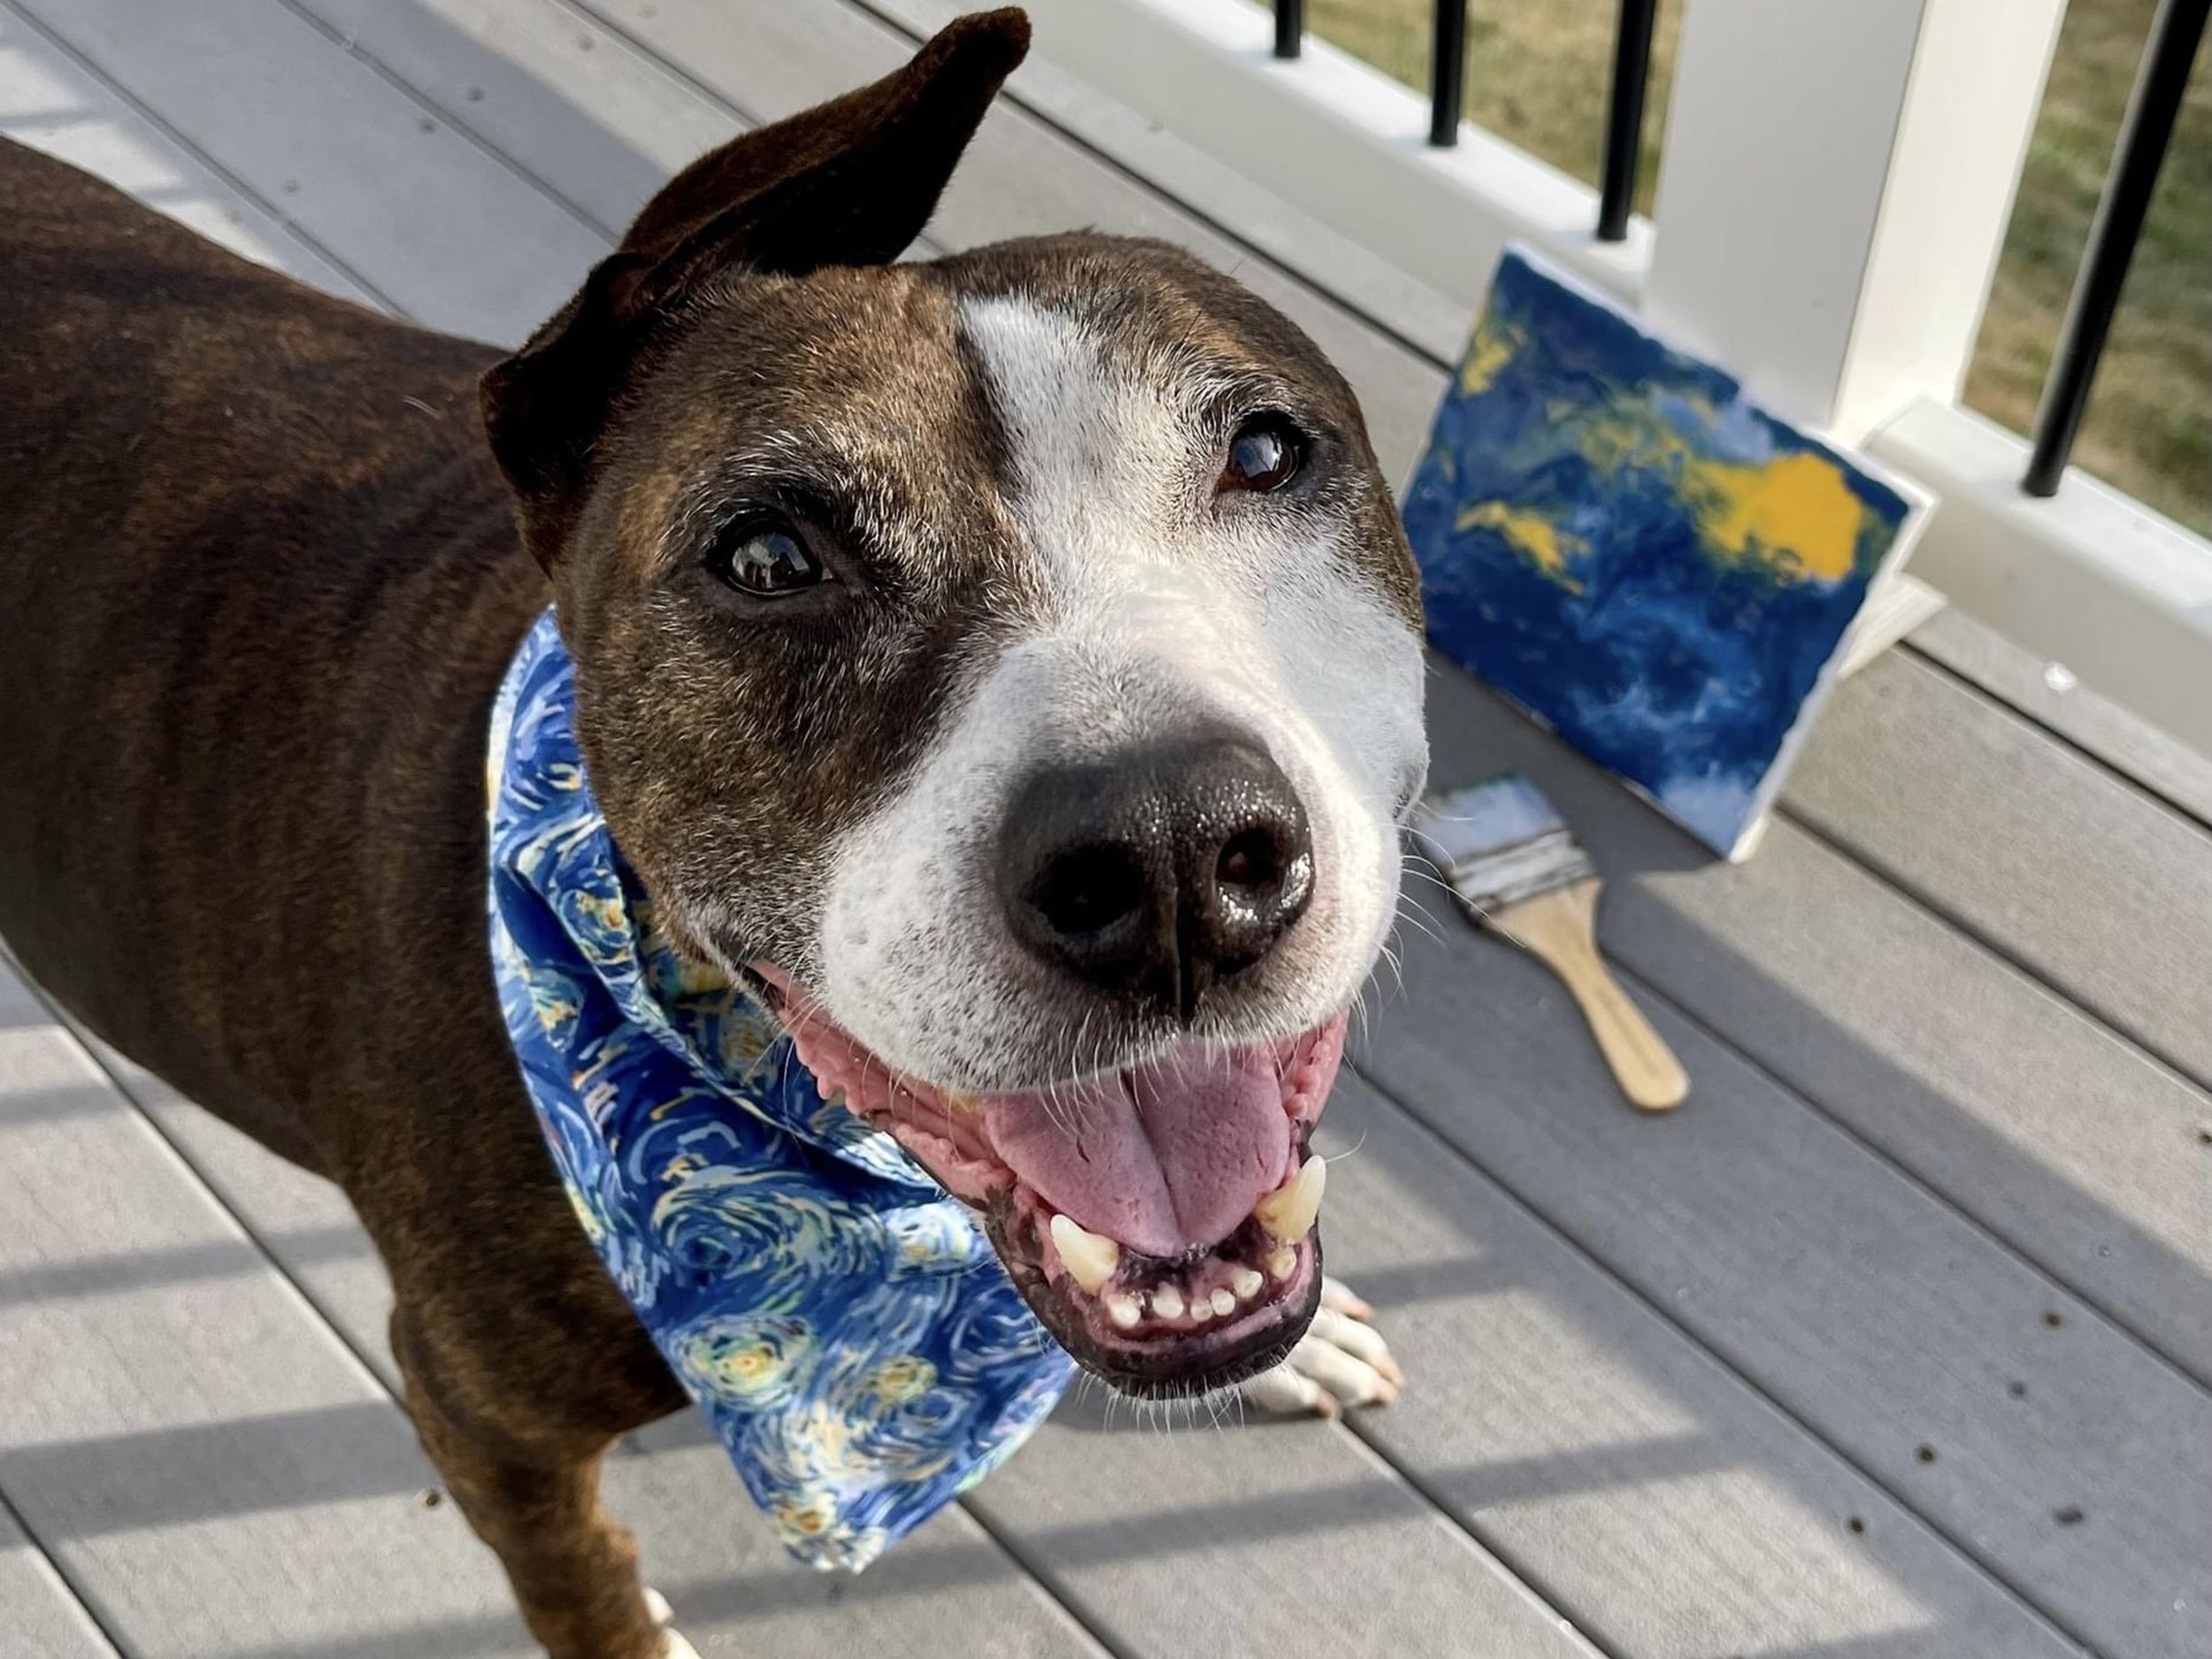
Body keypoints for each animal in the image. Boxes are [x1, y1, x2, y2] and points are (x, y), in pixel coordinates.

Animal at [0, 16, 1433, 1659]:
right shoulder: (481, 1422)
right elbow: (585, 1584)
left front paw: (1297, 1342)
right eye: (766, 557)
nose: (1169, 853)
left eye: (1263, 452)